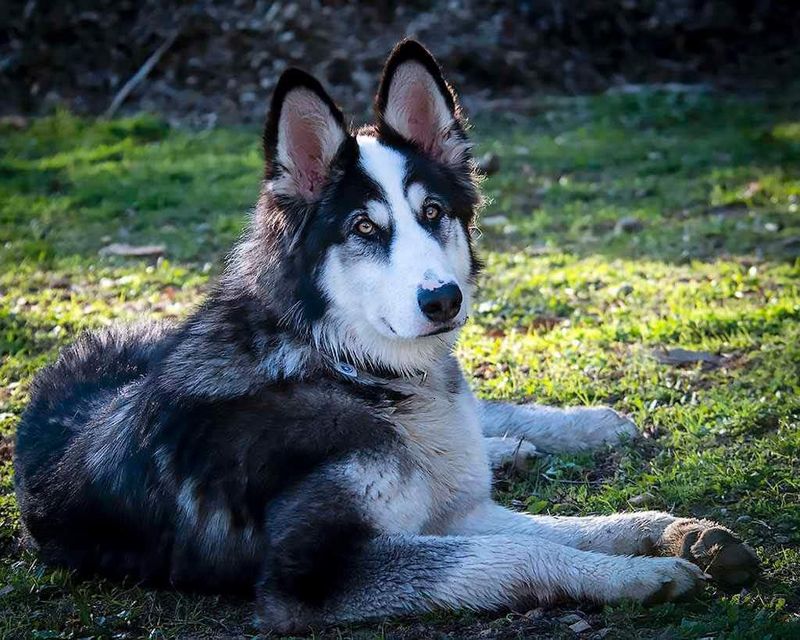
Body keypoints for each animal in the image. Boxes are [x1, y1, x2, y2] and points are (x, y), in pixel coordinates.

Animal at [15, 41, 760, 636]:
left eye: (433, 213)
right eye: (365, 229)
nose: (444, 299)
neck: (346, 367)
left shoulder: (454, 514)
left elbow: (594, 525)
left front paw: (672, 530)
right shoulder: (314, 576)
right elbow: (519, 552)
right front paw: (637, 577)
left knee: (483, 413)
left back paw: (559, 433)